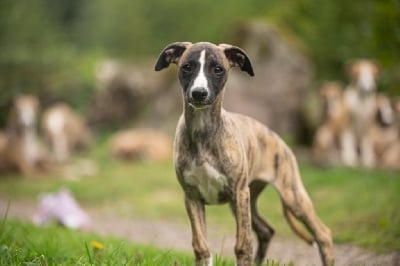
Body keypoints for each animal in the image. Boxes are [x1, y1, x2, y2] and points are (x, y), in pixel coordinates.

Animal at [155, 42, 332, 266]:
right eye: (187, 67)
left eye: (218, 69)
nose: (199, 93)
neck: (204, 132)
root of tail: (279, 139)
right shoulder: (192, 197)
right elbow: (201, 246)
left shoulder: (238, 193)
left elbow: (243, 245)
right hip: (249, 198)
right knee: (266, 230)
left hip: (291, 196)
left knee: (323, 234)